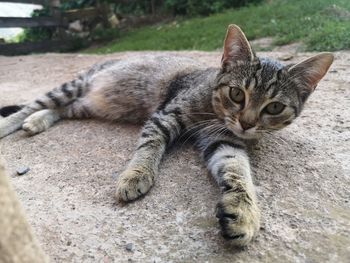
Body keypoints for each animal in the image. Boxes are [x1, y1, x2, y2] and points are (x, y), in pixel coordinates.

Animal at [0, 24, 334, 248]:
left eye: (274, 107)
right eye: (237, 94)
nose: (246, 122)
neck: (213, 109)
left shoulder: (226, 141)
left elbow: (238, 170)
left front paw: (244, 213)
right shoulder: (165, 115)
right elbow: (149, 147)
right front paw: (136, 175)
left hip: (87, 104)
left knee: (64, 109)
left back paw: (37, 121)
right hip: (73, 85)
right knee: (37, 103)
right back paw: (15, 122)